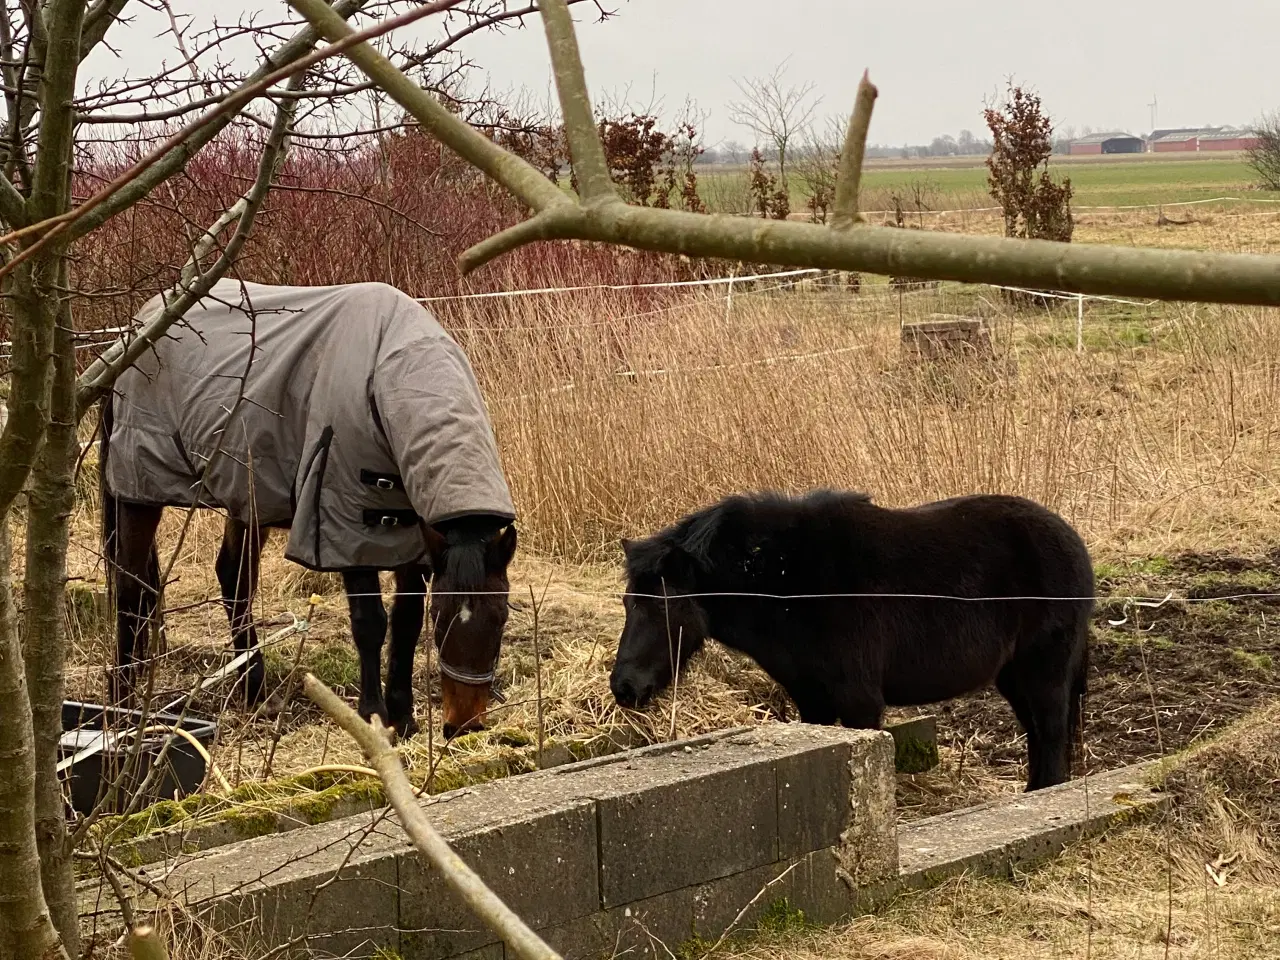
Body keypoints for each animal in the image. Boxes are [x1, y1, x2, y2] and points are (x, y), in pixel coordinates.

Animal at [614, 491, 1095, 793]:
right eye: (628, 602)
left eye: (663, 607)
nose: (624, 687)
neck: (793, 587)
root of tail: (1073, 542)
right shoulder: (813, 701)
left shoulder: (860, 700)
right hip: (1014, 676)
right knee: (1038, 735)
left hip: (1045, 670)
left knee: (1051, 734)